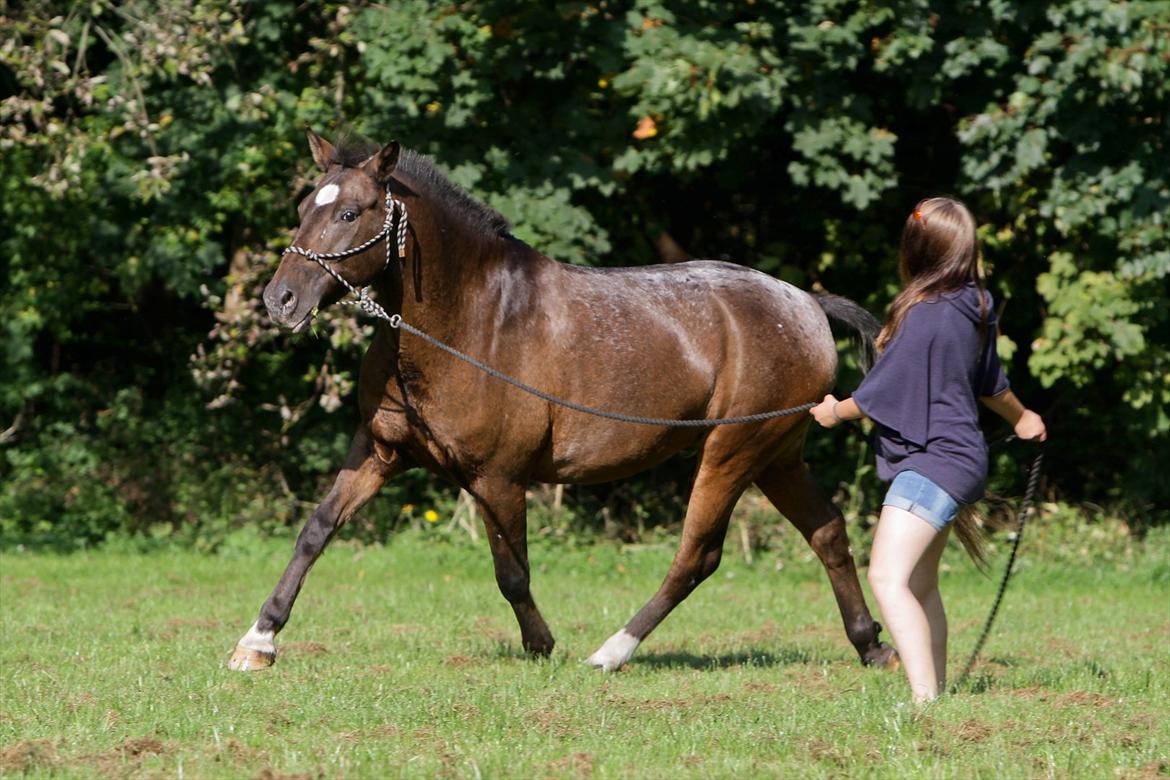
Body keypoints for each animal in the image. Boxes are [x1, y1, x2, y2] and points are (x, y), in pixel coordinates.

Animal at [225, 130, 893, 673]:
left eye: (349, 212)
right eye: (303, 208)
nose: (280, 300)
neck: (467, 320)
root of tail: (805, 304)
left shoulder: (496, 476)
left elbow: (511, 571)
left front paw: (541, 645)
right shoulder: (381, 451)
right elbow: (316, 530)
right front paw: (257, 642)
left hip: (732, 453)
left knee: (697, 555)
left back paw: (609, 653)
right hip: (778, 455)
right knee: (828, 533)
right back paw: (872, 645)